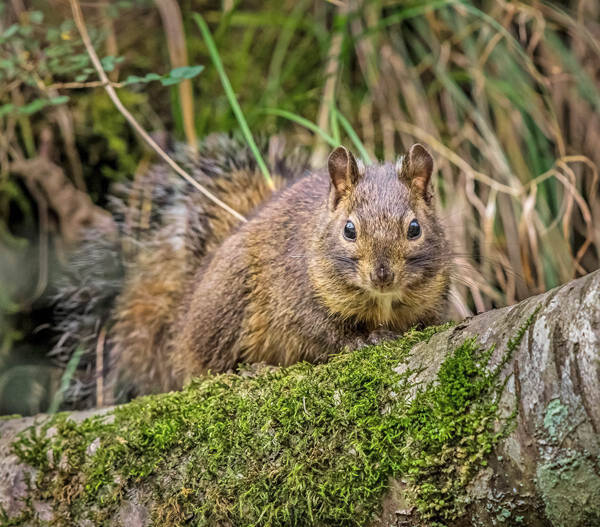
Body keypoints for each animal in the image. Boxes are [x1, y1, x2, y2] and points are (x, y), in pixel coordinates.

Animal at [52, 134, 450, 406]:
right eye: (349, 230)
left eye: (415, 228)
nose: (382, 275)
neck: (381, 302)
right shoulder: (295, 297)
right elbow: (322, 331)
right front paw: (364, 339)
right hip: (228, 306)